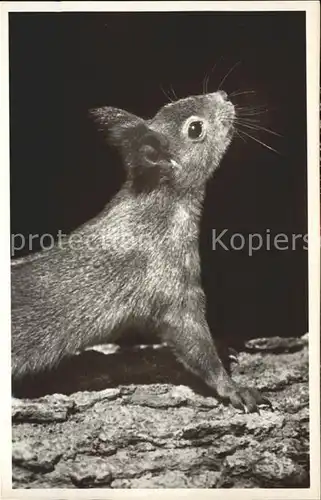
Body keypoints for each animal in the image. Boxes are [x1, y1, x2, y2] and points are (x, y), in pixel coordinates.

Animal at [10, 91, 270, 414]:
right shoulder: (170, 286)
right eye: (195, 129)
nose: (222, 96)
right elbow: (193, 342)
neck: (158, 205)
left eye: (170, 103)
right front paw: (231, 387)